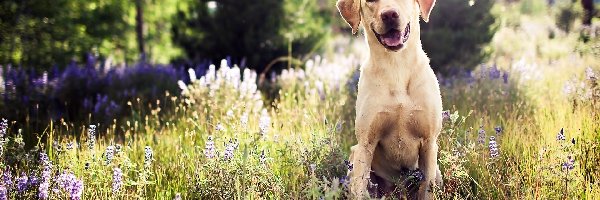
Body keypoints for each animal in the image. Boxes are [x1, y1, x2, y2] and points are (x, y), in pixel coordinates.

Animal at [336, 0, 442, 198]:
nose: (389, 14)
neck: (396, 66)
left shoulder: (429, 142)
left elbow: (426, 189)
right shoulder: (365, 144)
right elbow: (359, 189)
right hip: (354, 155)